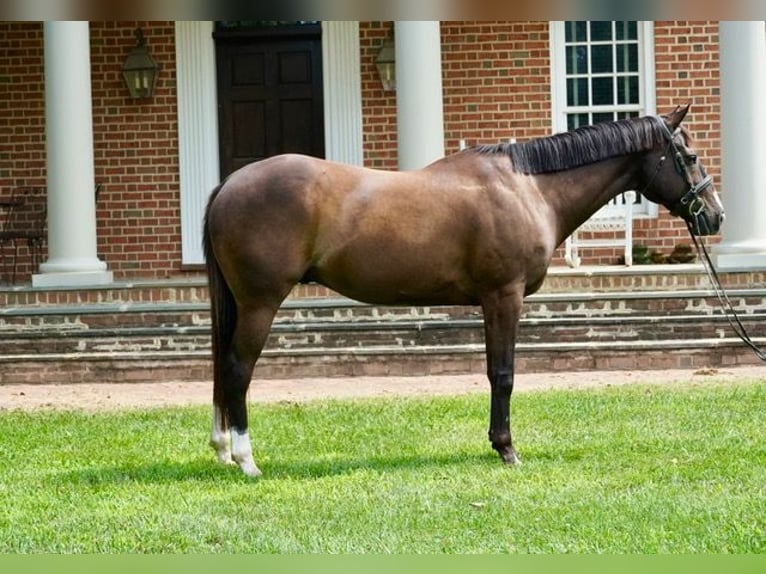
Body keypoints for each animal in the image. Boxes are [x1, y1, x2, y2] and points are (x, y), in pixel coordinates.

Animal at [203, 104, 724, 477]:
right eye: (690, 156)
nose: (715, 216)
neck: (528, 189)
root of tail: (230, 183)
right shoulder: (503, 297)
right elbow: (502, 374)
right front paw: (507, 449)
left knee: (224, 369)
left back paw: (224, 451)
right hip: (259, 304)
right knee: (238, 369)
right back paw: (247, 460)